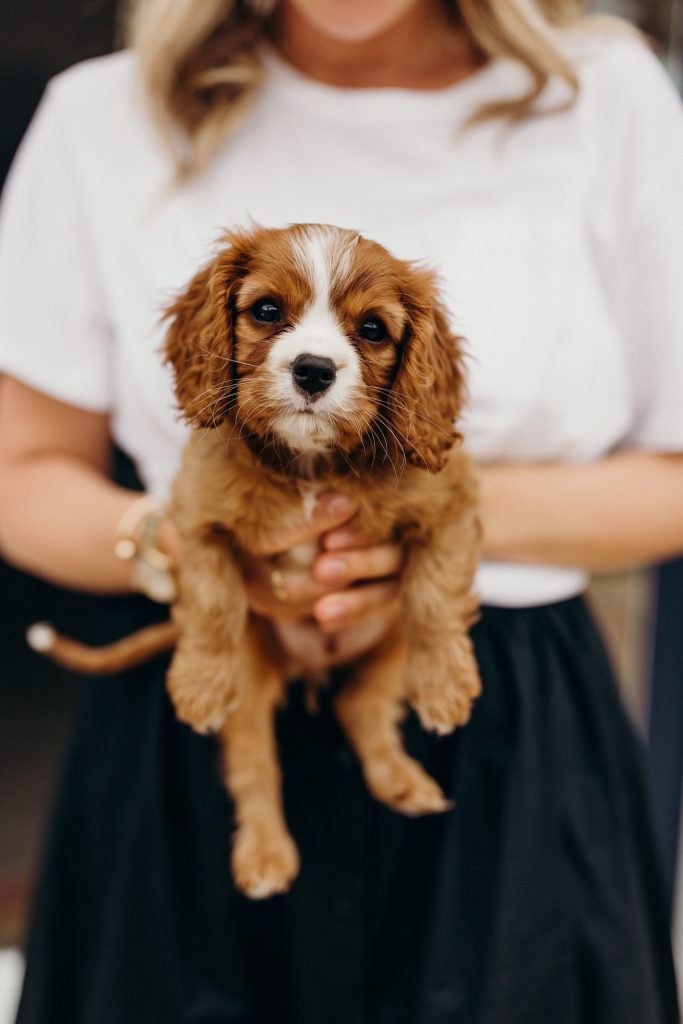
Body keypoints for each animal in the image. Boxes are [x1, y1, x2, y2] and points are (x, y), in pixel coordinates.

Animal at [30, 222, 481, 897]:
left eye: (373, 329)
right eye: (267, 311)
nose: (314, 370)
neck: (310, 465)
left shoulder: (452, 503)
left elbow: (434, 596)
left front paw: (445, 684)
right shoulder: (195, 517)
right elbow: (214, 602)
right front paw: (199, 683)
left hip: (386, 640)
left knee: (362, 706)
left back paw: (400, 780)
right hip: (257, 680)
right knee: (255, 767)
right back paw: (265, 856)